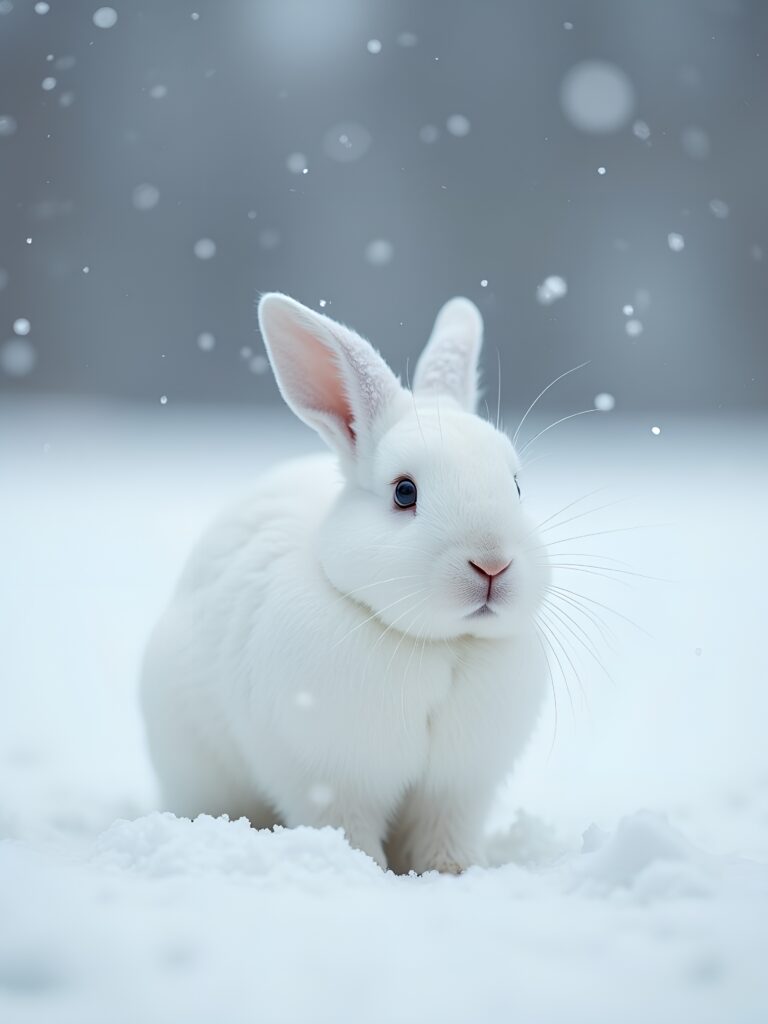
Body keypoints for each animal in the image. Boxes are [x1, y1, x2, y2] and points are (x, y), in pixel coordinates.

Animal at [141, 294, 548, 872]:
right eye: (404, 492)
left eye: (515, 487)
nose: (491, 565)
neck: (439, 646)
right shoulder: (328, 781)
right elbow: (346, 828)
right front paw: (361, 869)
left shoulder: (457, 788)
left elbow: (445, 832)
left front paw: (456, 872)